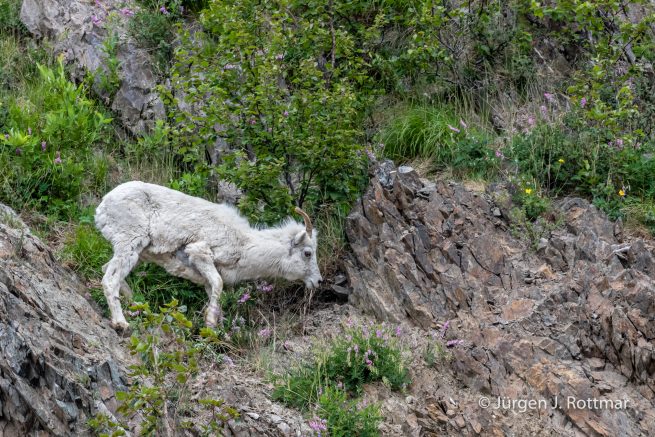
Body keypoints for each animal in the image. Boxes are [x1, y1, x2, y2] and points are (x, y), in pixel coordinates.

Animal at [94, 181, 322, 330]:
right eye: (307, 253)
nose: (318, 281)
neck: (244, 244)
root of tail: (103, 205)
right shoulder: (200, 254)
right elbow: (219, 284)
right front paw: (210, 323)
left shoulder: (205, 278)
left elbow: (215, 294)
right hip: (129, 243)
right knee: (110, 279)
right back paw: (121, 323)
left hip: (137, 253)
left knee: (109, 271)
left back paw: (138, 307)